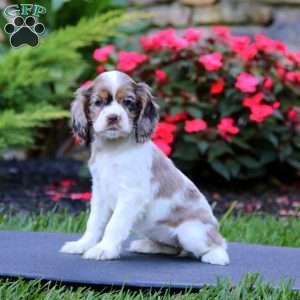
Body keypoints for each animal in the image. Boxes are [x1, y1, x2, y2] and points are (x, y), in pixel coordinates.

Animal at [60, 69, 230, 264]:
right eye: (98, 102)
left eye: (128, 102)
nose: (113, 117)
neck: (113, 149)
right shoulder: (100, 192)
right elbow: (94, 223)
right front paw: (82, 245)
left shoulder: (131, 195)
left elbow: (114, 225)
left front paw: (103, 249)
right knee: (175, 248)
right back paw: (147, 246)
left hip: (192, 232)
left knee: (216, 244)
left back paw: (216, 256)